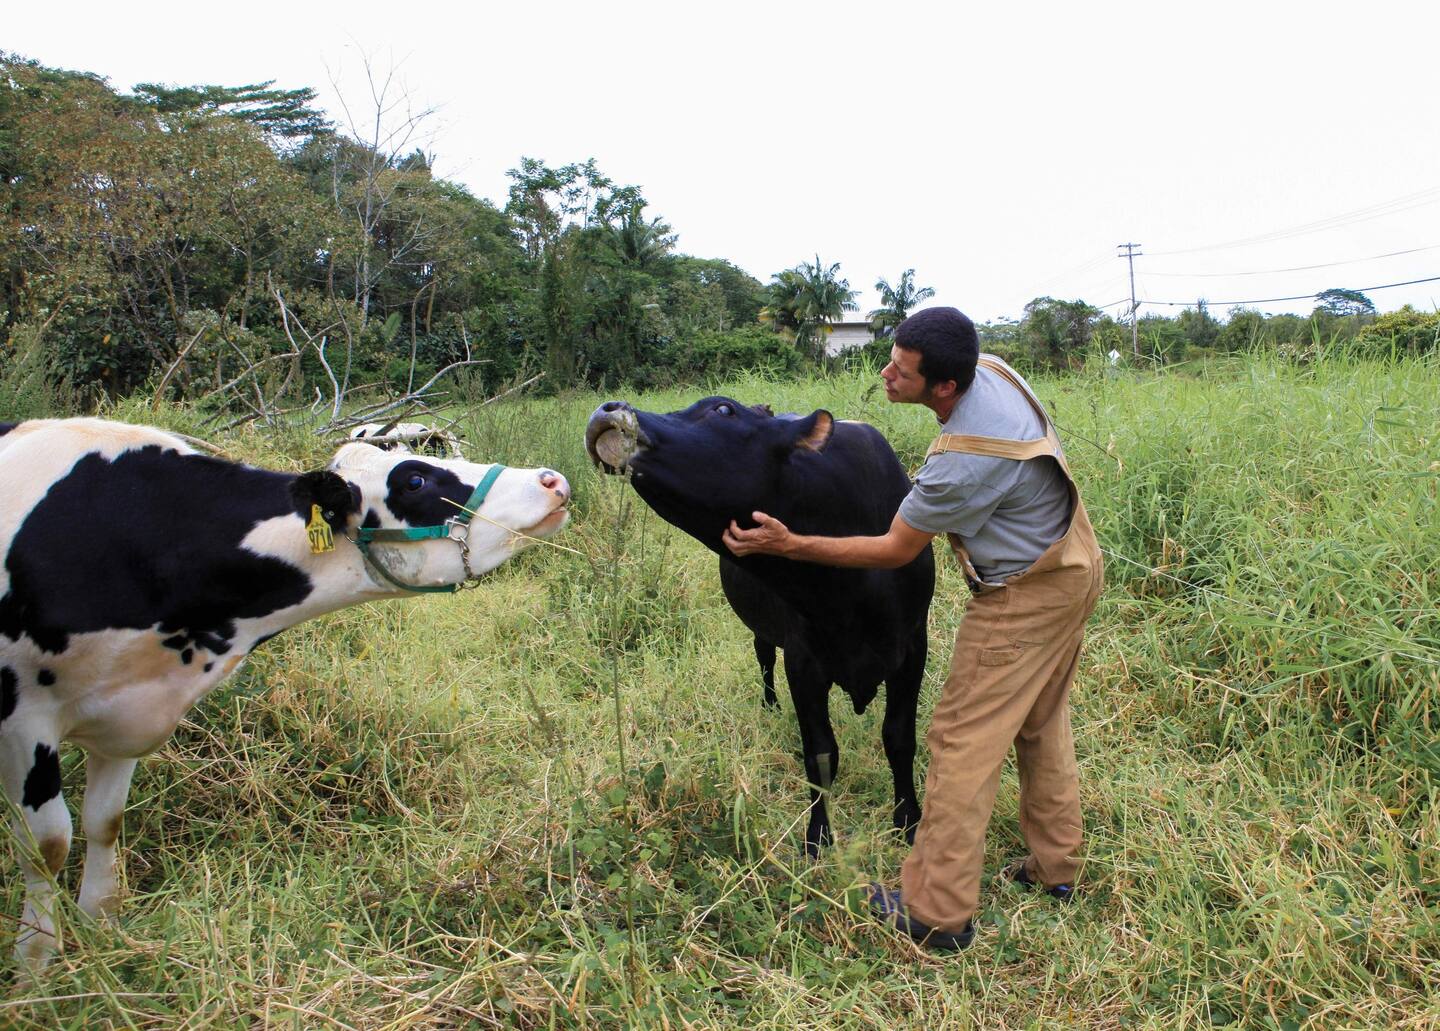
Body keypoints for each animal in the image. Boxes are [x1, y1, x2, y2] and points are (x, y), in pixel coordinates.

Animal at [584, 397, 933, 858]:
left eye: (723, 410)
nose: (611, 407)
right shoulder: (803, 660)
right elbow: (820, 754)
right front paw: (818, 837)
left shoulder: (911, 649)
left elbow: (898, 738)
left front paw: (908, 821)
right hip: (763, 631)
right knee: (763, 657)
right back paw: (769, 705)